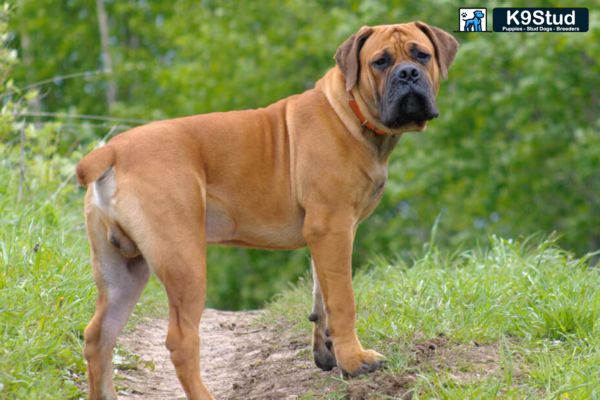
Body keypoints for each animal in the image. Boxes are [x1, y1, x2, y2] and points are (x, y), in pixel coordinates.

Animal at [76, 22, 460, 400]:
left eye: (421, 55)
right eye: (380, 62)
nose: (408, 73)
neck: (350, 113)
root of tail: (112, 152)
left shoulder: (327, 235)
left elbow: (321, 294)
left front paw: (328, 351)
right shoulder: (333, 227)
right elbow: (343, 300)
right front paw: (354, 360)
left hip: (123, 269)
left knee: (99, 336)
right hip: (183, 260)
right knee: (181, 341)